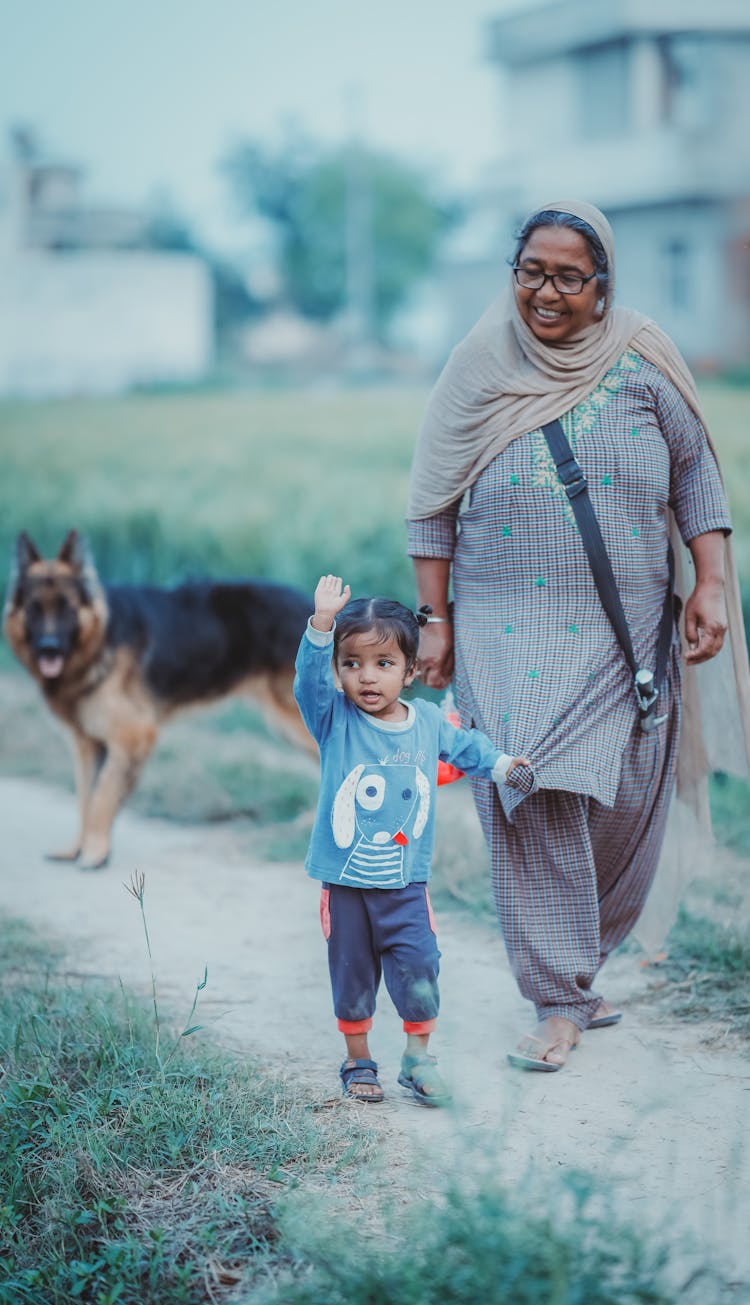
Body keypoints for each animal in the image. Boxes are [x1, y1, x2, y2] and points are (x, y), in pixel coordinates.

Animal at [2, 529, 314, 866]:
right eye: (34, 608)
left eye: (67, 608)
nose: (49, 648)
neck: (101, 639)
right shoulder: (88, 744)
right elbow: (85, 798)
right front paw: (77, 849)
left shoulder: (133, 736)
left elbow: (102, 798)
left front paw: (95, 853)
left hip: (294, 722)